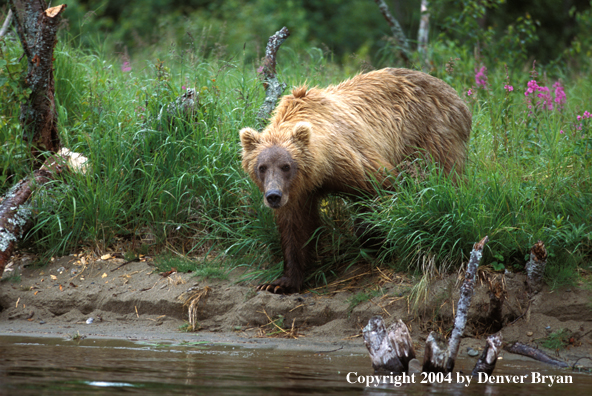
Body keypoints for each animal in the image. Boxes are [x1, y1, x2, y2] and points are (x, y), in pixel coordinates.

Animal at [239, 66, 472, 292]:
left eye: (286, 166)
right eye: (262, 167)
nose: (273, 196)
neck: (321, 169)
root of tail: (459, 99)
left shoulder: (352, 158)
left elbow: (381, 189)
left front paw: (374, 240)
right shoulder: (298, 191)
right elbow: (295, 228)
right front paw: (279, 283)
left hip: (430, 135)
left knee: (438, 176)